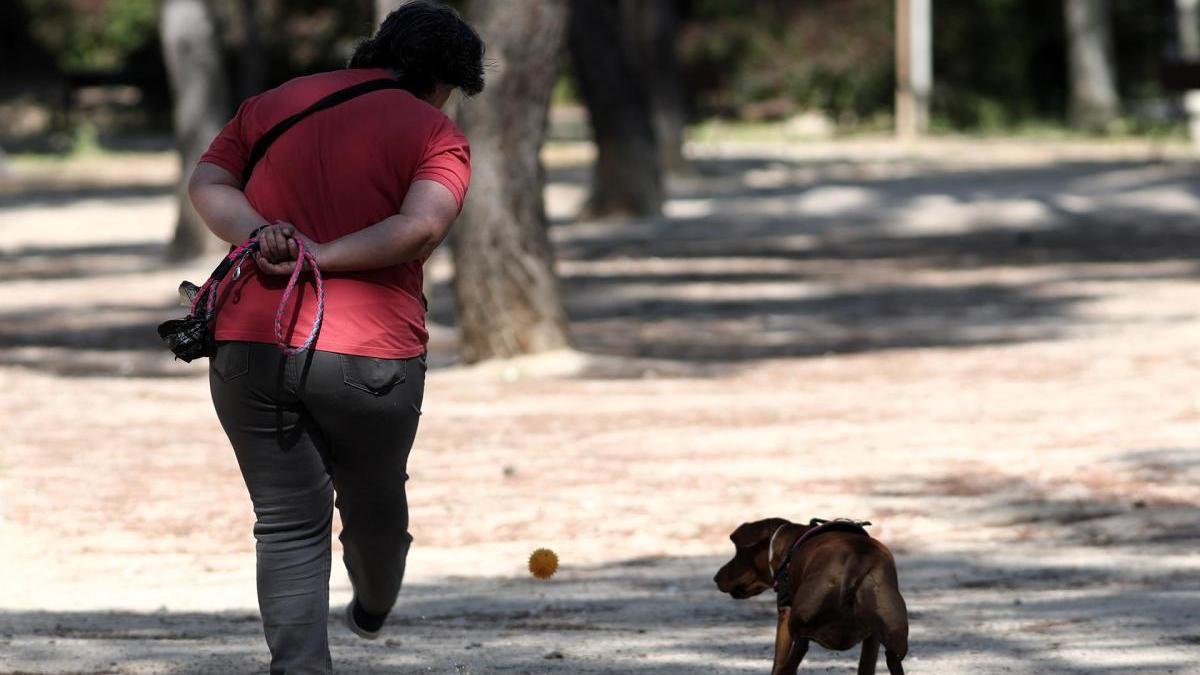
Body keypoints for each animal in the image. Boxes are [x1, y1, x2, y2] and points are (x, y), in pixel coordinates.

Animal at [710, 516, 907, 667]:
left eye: (738, 554)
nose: (716, 578)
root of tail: (857, 559)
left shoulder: (785, 616)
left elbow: (777, 663)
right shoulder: (872, 640)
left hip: (800, 629)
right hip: (891, 643)